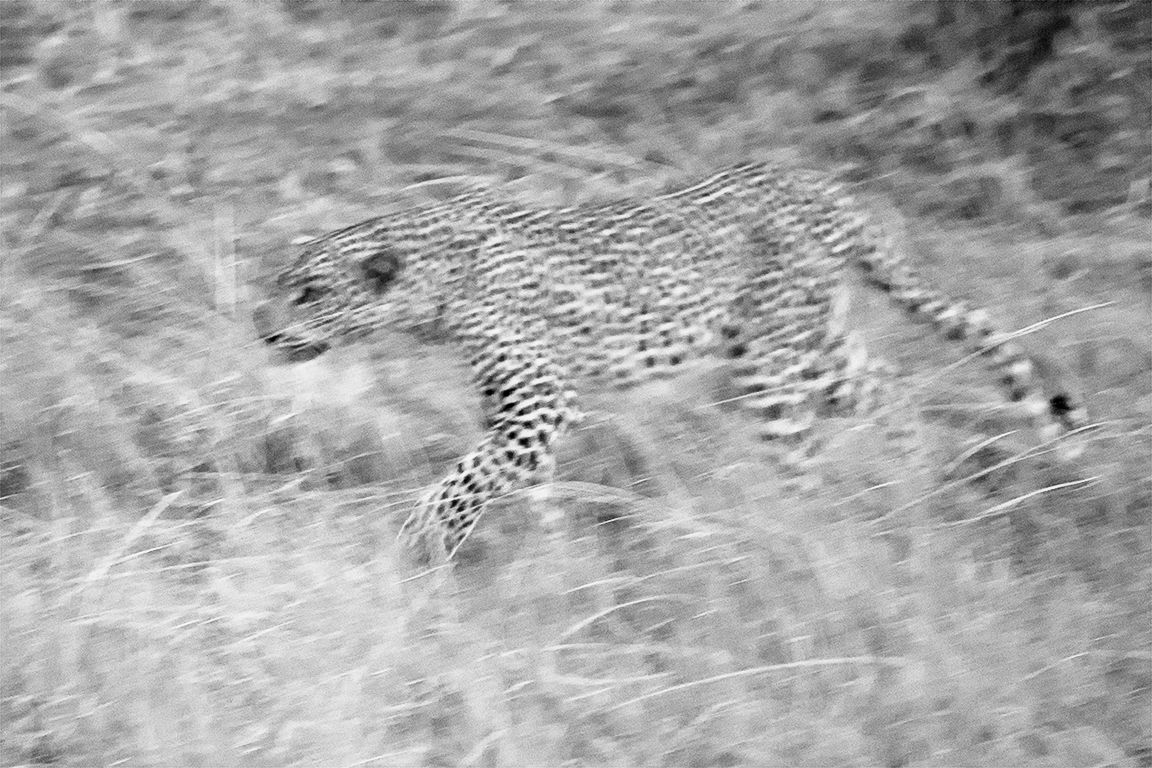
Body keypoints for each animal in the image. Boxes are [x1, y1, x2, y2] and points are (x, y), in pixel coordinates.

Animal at [254, 160, 1088, 561]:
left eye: (309, 293)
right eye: (280, 287)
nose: (263, 332)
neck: (434, 289)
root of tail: (821, 186)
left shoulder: (539, 405)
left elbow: (461, 482)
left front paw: (420, 544)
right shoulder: (516, 417)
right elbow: (517, 484)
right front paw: (552, 565)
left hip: (773, 367)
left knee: (804, 458)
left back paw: (803, 534)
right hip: (814, 349)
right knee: (892, 387)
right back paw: (915, 486)